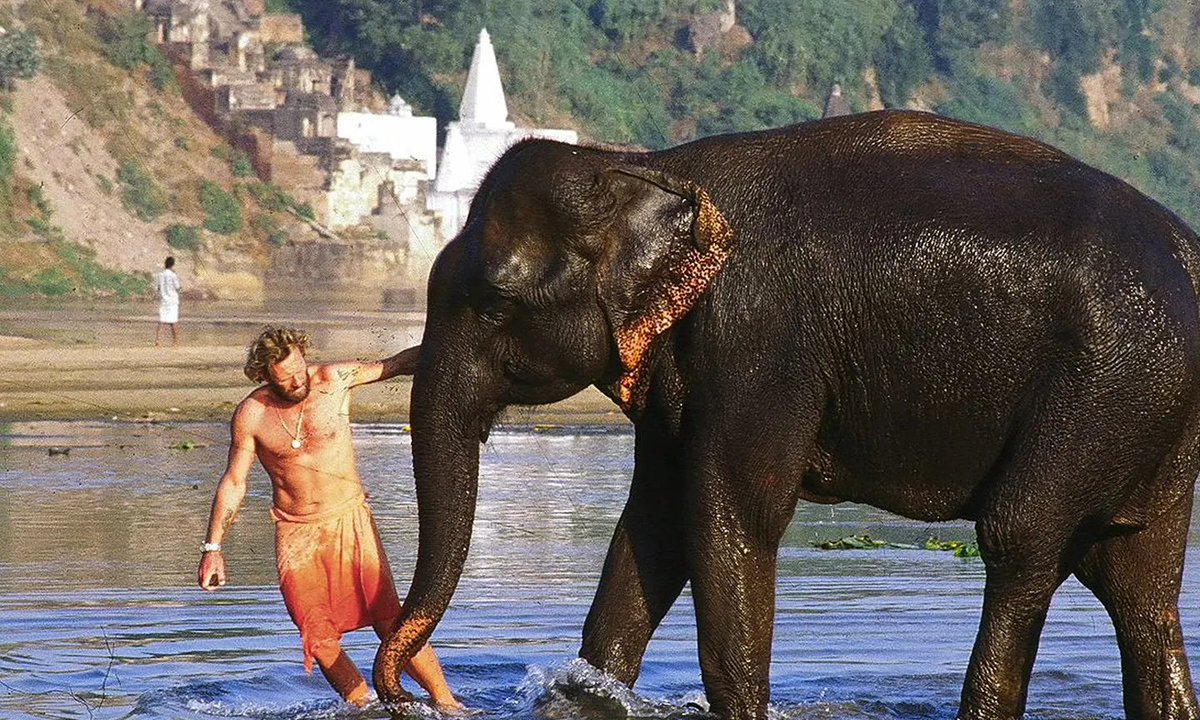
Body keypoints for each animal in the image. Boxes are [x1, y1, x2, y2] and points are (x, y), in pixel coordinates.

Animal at [375, 109, 1200, 720]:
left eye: (493, 301)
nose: (405, 696)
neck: (653, 167)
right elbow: (654, 525)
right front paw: (585, 697)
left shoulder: (759, 342)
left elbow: (733, 513)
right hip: (1157, 411)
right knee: (1138, 583)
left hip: (1107, 384)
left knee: (1021, 538)